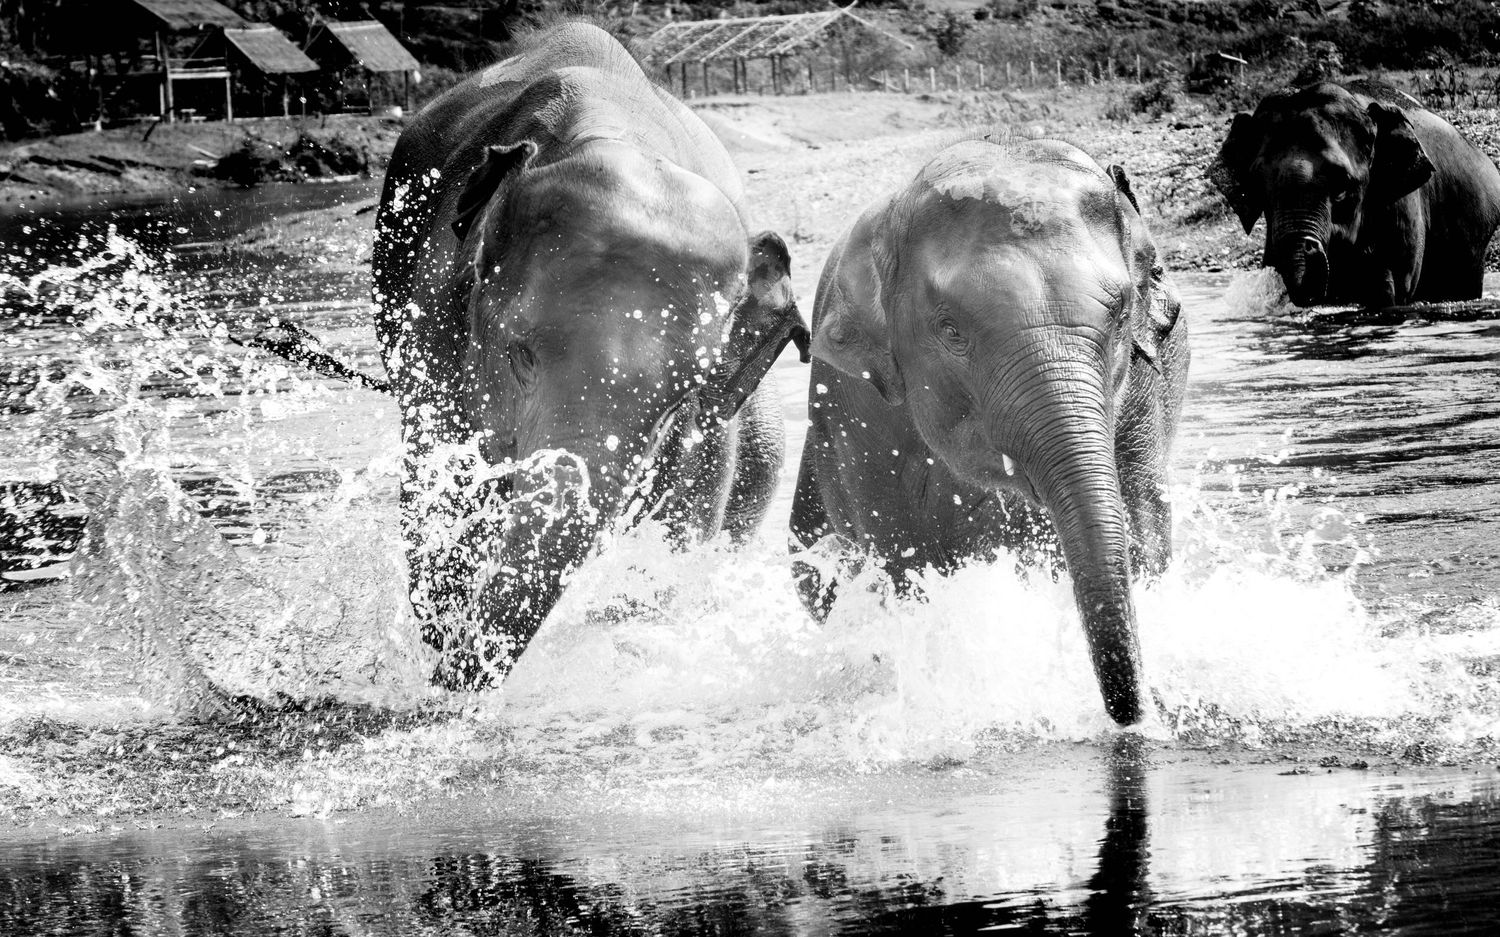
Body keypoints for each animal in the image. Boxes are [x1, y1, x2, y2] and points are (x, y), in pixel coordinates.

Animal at [372, 23, 808, 689]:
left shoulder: (710, 422)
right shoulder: (432, 315)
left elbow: (685, 525)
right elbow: (438, 495)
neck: (614, 127)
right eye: (519, 355)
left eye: (680, 399)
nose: (459, 680)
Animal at [790, 139, 1189, 726]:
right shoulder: (853, 402)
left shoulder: (1143, 389)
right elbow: (898, 554)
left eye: (1120, 316)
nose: (1147, 712)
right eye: (950, 330)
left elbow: (1141, 524)